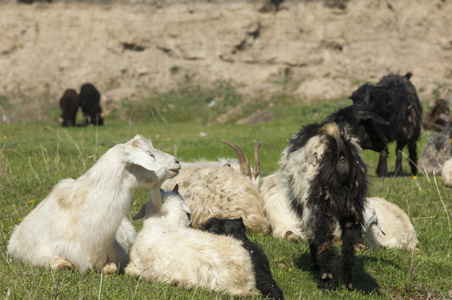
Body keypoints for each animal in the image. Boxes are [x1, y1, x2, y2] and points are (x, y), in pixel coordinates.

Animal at [7, 135, 180, 274]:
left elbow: (111, 268)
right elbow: (61, 265)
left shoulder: (117, 254)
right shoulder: (39, 254)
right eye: (150, 155)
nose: (177, 162)